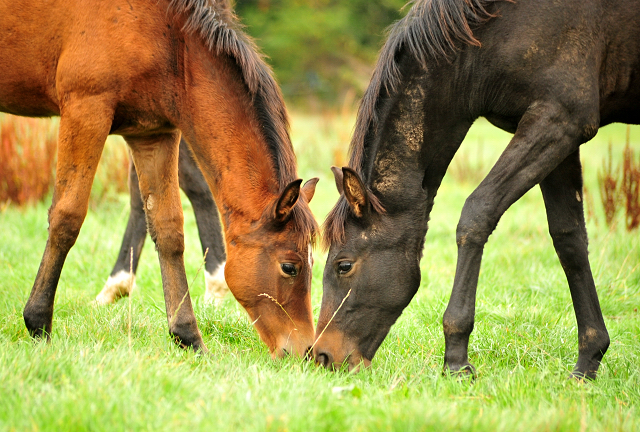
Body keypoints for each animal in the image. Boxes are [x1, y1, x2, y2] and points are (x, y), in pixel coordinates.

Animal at [316, 0, 640, 378]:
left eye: (343, 266)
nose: (321, 356)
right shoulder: (562, 135)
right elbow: (569, 240)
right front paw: (588, 360)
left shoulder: (559, 120)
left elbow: (477, 212)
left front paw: (456, 359)